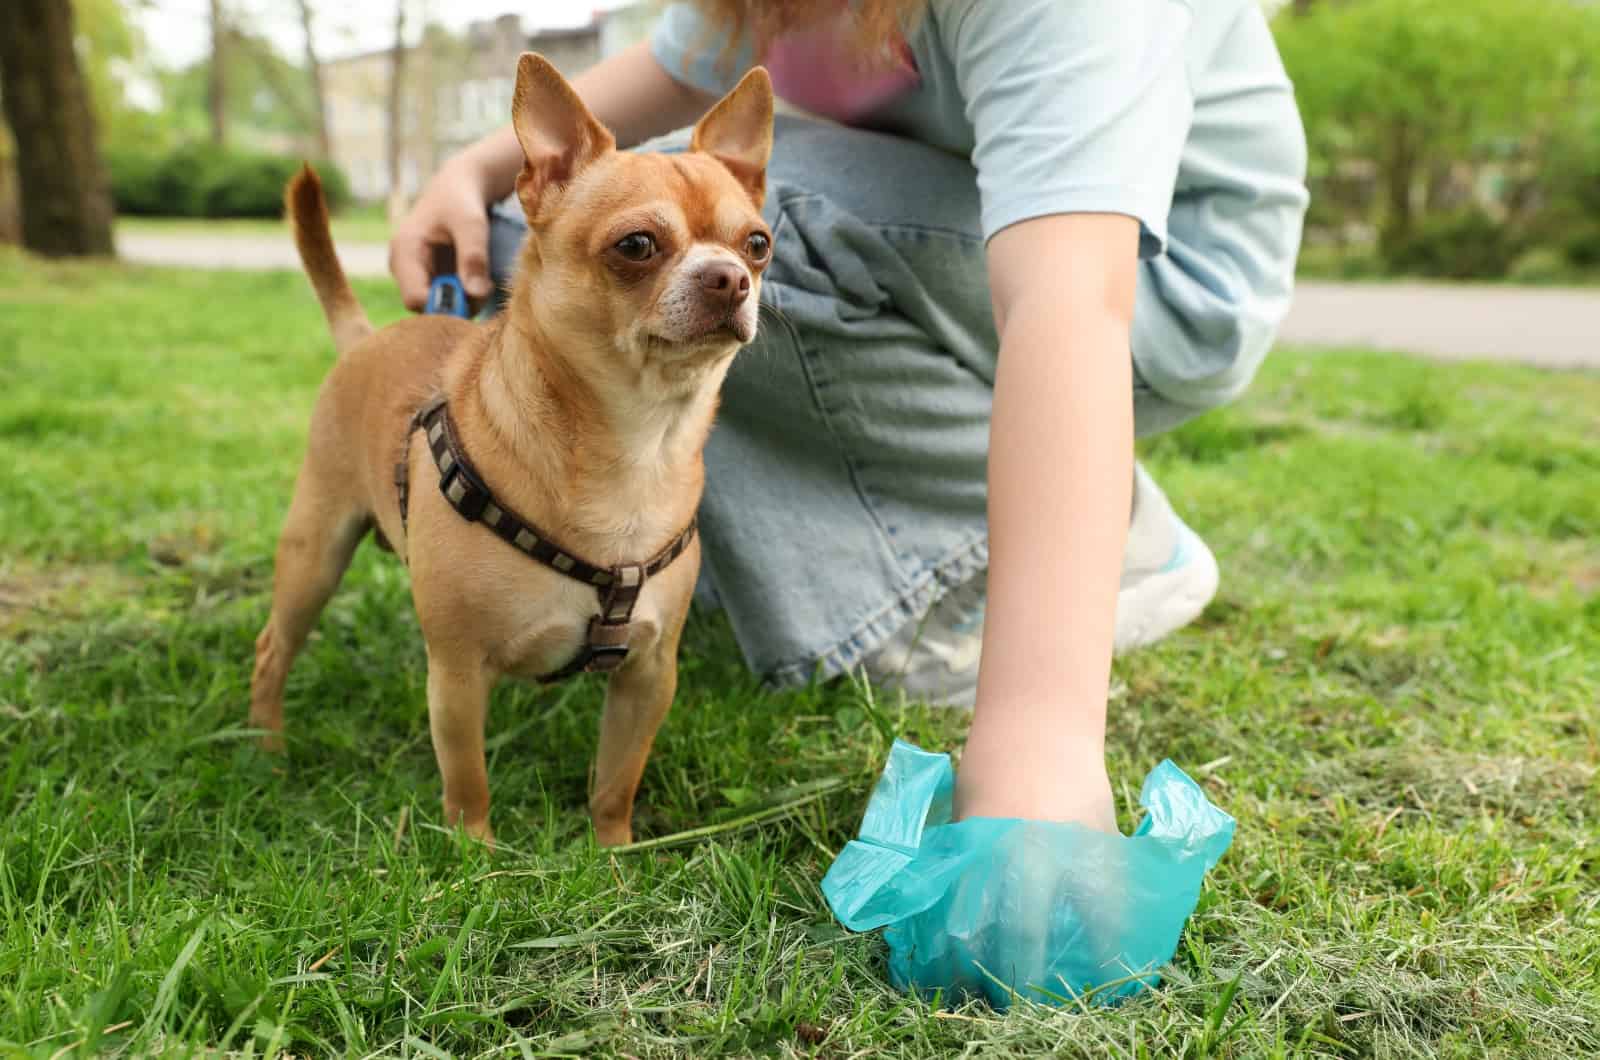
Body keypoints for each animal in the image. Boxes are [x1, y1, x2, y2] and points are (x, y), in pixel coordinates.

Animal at [249, 54, 774, 851]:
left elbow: (616, 779)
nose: (730, 277)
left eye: (758, 244)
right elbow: (468, 781)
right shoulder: (458, 676)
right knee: (272, 651)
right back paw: (268, 754)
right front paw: (477, 855)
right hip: (315, 554)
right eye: (637, 246)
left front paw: (614, 855)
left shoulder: (648, 675)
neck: (638, 441)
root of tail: (367, 336)